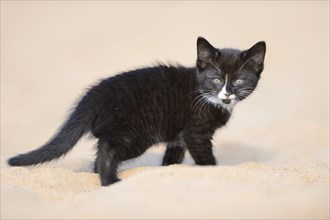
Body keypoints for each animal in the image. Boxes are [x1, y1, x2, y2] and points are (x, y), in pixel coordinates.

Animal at [7, 37, 266, 186]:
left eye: (239, 80)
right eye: (216, 80)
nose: (227, 94)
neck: (203, 93)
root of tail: (92, 96)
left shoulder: (178, 137)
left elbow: (173, 157)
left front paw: (169, 171)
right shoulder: (196, 133)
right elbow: (206, 159)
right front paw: (214, 172)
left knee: (101, 150)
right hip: (135, 134)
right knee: (107, 151)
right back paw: (110, 181)